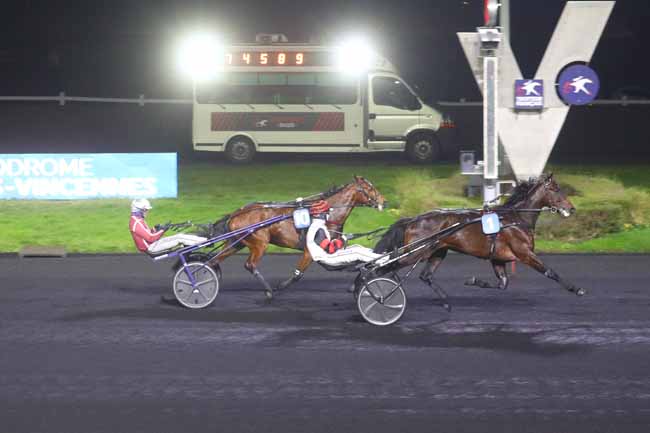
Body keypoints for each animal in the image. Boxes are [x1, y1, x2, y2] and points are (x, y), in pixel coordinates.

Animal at [205, 175, 382, 296]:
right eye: (370, 188)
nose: (384, 200)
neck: (326, 214)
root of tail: (237, 213)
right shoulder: (310, 250)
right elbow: (298, 274)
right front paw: (279, 287)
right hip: (260, 243)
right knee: (250, 265)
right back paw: (269, 291)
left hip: (236, 243)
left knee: (214, 261)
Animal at [370, 173, 584, 308]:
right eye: (555, 189)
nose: (571, 208)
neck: (516, 218)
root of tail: (413, 219)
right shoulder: (524, 253)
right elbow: (550, 272)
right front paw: (576, 289)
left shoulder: (498, 258)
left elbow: (503, 283)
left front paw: (473, 281)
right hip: (416, 252)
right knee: (382, 269)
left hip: (438, 251)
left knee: (425, 275)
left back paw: (445, 301)